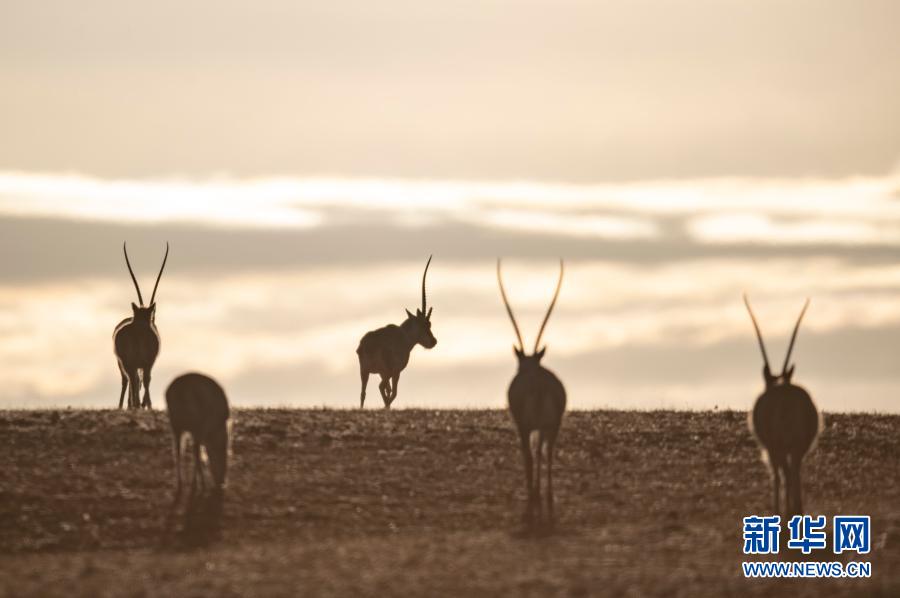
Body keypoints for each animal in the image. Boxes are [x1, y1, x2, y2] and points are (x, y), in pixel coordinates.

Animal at [113, 241, 168, 410]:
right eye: (153, 318)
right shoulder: (148, 362)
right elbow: (144, 380)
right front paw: (146, 404)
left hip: (129, 363)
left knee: (133, 380)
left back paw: (134, 404)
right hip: (131, 363)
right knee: (134, 380)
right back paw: (135, 404)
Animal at [165, 372, 230, 536]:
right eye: (224, 461)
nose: (221, 483)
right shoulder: (204, 429)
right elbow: (201, 455)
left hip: (176, 424)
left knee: (178, 451)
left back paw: (182, 482)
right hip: (196, 423)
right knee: (193, 452)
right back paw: (199, 484)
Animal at [356, 255, 438, 410]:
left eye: (429, 324)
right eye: (423, 324)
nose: (433, 341)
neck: (404, 337)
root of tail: (365, 344)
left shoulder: (387, 373)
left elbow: (389, 392)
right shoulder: (397, 372)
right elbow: (392, 393)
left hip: (367, 371)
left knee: (364, 393)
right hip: (385, 372)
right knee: (382, 388)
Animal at [496, 260, 568, 528]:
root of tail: (538, 384)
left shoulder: (522, 426)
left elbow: (527, 455)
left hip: (529, 426)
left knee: (532, 454)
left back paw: (535, 496)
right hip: (551, 425)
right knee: (546, 453)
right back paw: (546, 496)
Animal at [744, 298, 824, 524]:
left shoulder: (771, 448)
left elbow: (777, 474)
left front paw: (776, 510)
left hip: (779, 445)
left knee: (785, 471)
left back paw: (790, 511)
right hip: (796, 446)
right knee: (794, 470)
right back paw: (797, 510)